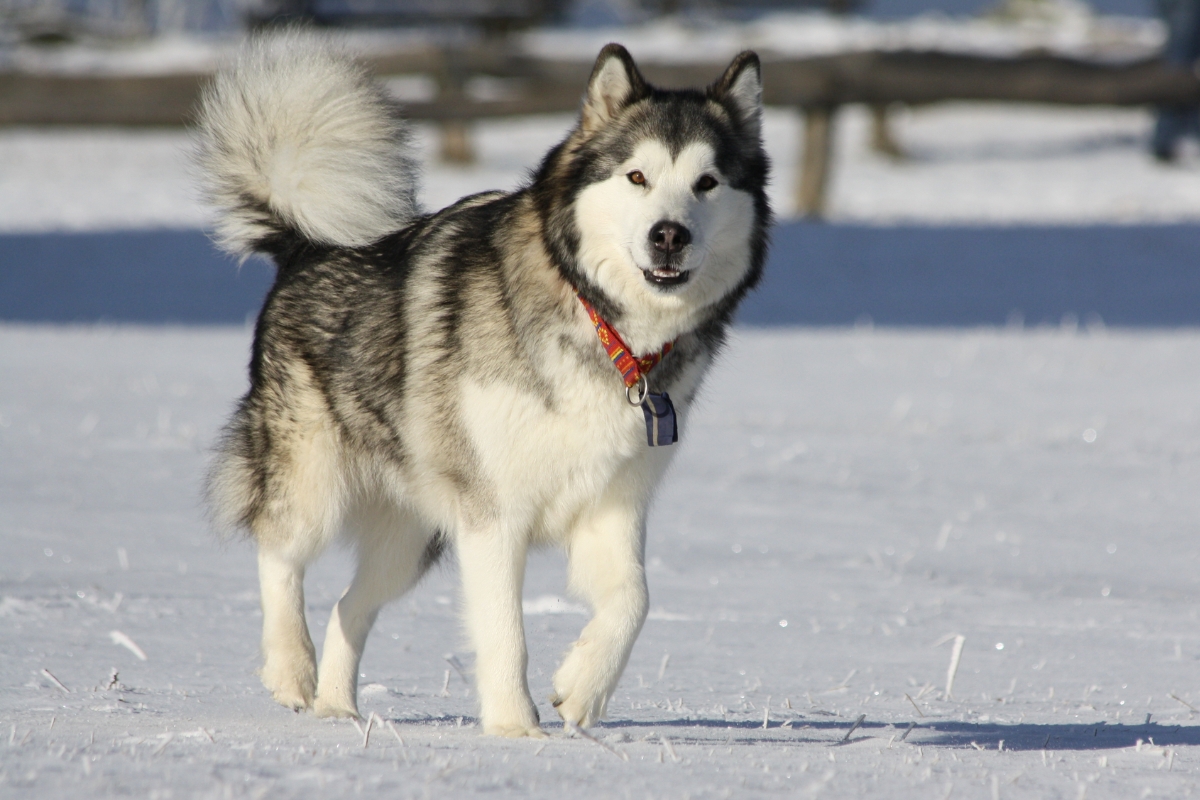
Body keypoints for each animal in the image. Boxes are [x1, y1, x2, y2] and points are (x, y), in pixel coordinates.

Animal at [197, 31, 771, 737]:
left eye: (707, 182)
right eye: (637, 176)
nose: (670, 235)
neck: (603, 325)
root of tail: (305, 247)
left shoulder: (613, 504)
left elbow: (635, 600)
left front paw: (582, 690)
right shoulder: (494, 515)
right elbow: (505, 631)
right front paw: (515, 730)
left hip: (412, 537)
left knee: (349, 606)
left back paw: (338, 709)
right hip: (315, 480)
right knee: (279, 552)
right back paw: (291, 669)